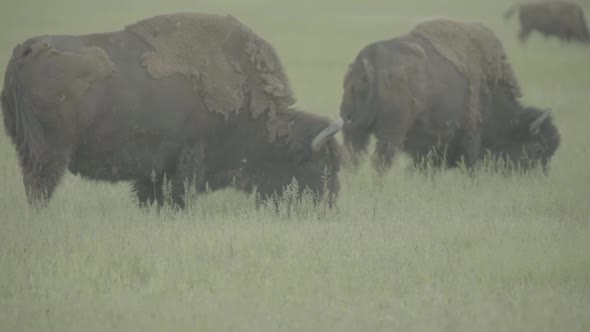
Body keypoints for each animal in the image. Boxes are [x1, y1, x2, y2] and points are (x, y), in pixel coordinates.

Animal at [0, 13, 344, 211]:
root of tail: (27, 50)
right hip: (48, 154)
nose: (328, 205)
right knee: (39, 187)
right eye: (321, 166)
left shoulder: (156, 169)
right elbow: (182, 193)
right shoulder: (190, 156)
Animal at [340, 17, 560, 175]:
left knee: (353, 160)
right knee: (380, 162)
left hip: (353, 128)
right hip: (390, 134)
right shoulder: (472, 134)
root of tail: (367, 60)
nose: (538, 177)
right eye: (537, 149)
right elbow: (471, 166)